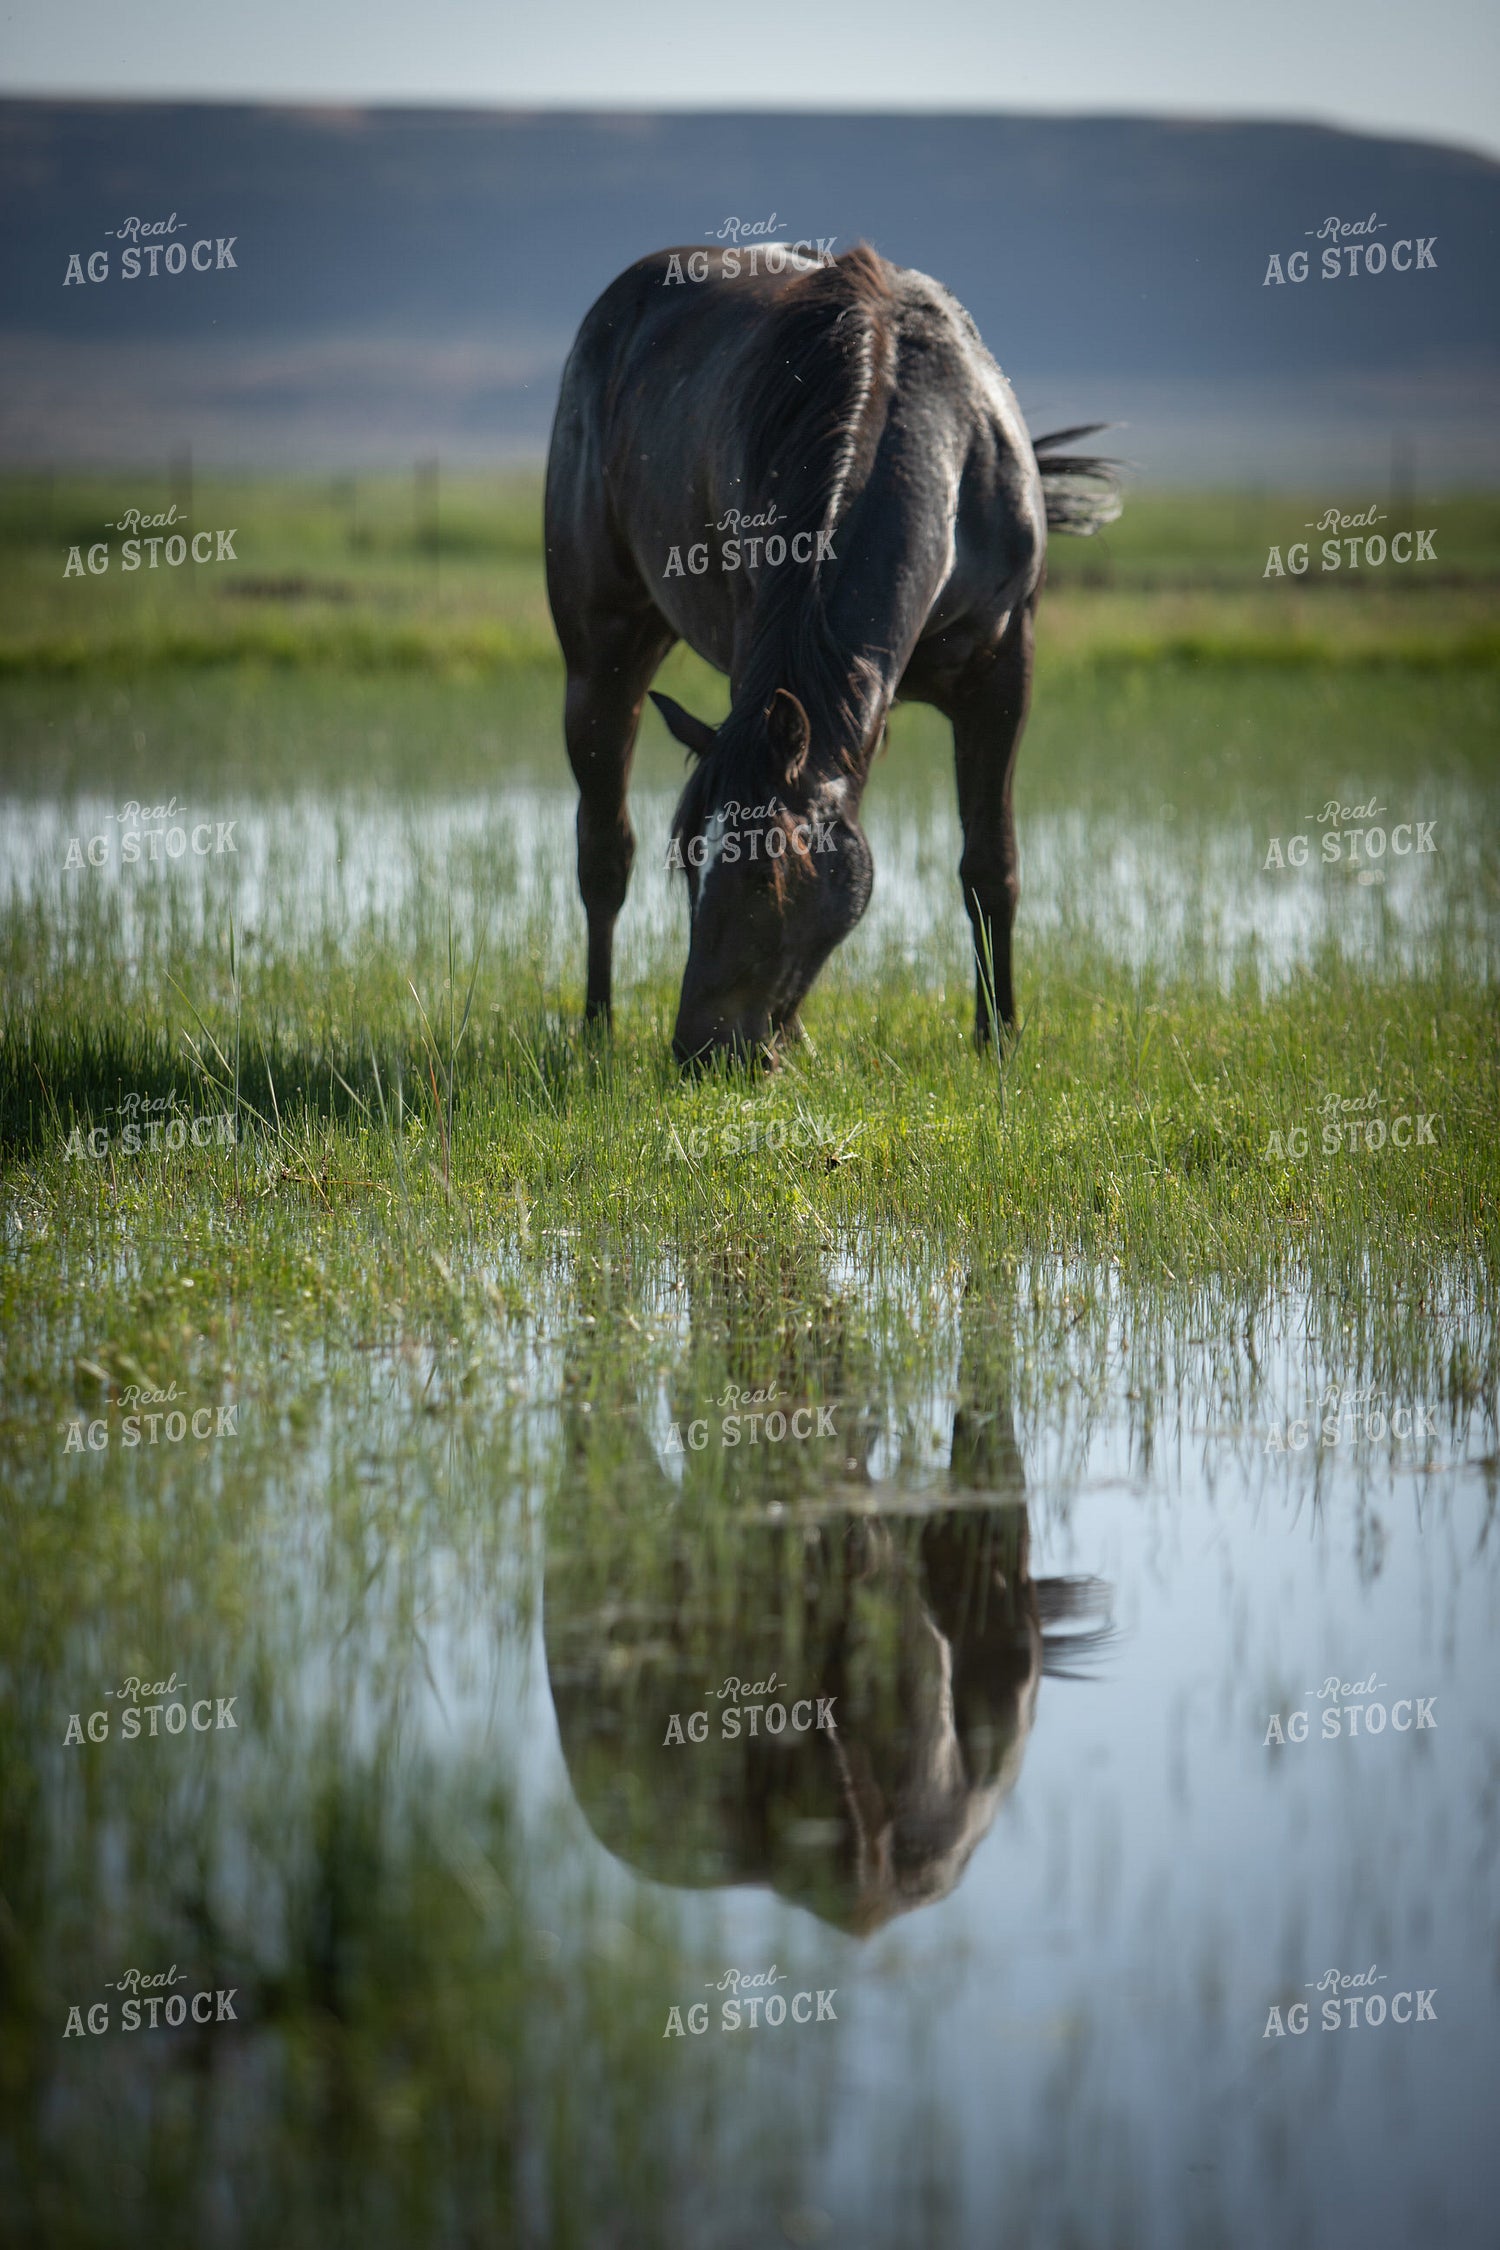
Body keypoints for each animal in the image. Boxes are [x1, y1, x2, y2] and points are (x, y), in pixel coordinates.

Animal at [544, 241, 1119, 1065]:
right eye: (688, 863)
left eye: (764, 872)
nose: (701, 1051)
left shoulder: (1003, 673)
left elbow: (990, 862)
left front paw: (998, 1036)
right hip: (601, 654)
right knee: (602, 852)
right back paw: (596, 1029)